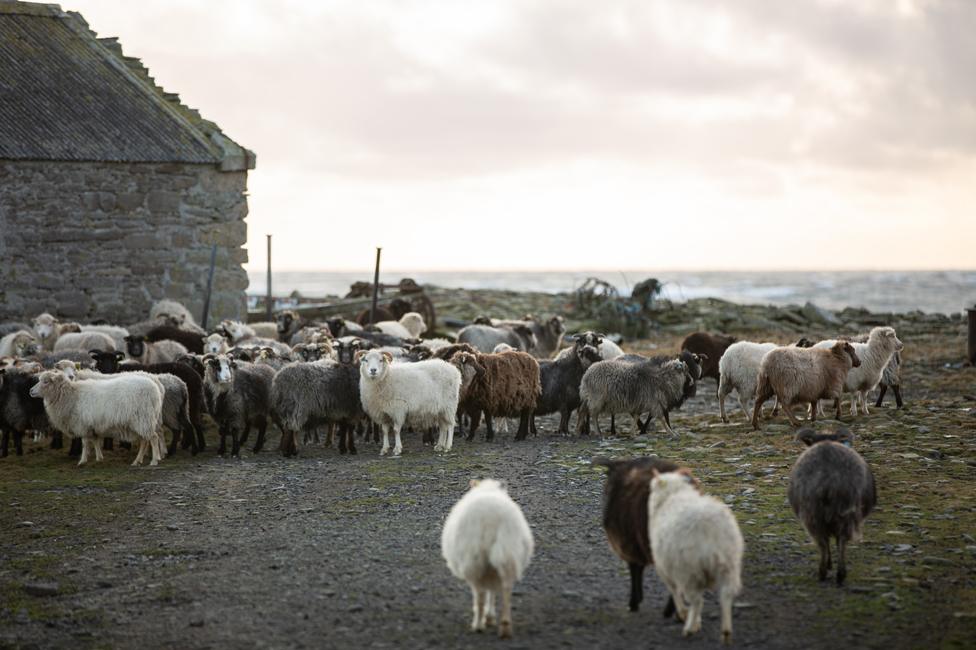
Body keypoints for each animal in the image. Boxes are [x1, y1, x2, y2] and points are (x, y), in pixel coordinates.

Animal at [30, 368, 164, 464]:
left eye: (46, 381)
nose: (30, 391)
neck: (71, 396)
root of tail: (155, 388)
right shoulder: (91, 425)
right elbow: (95, 441)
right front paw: (99, 458)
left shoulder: (82, 425)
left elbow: (85, 443)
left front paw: (82, 461)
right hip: (142, 421)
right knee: (144, 441)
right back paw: (137, 461)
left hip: (144, 418)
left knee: (153, 438)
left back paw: (154, 461)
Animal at [440, 478, 532, 636]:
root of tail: (491, 516)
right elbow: (493, 591)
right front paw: (490, 617)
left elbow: (487, 593)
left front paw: (487, 618)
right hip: (508, 553)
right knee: (506, 588)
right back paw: (505, 626)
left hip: (474, 560)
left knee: (479, 595)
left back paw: (478, 625)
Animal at [652, 466, 744, 644]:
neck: (673, 495)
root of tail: (708, 526)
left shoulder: (665, 568)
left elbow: (674, 591)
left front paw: (684, 614)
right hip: (729, 564)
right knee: (726, 596)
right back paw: (726, 632)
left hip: (689, 570)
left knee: (697, 601)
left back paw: (689, 629)